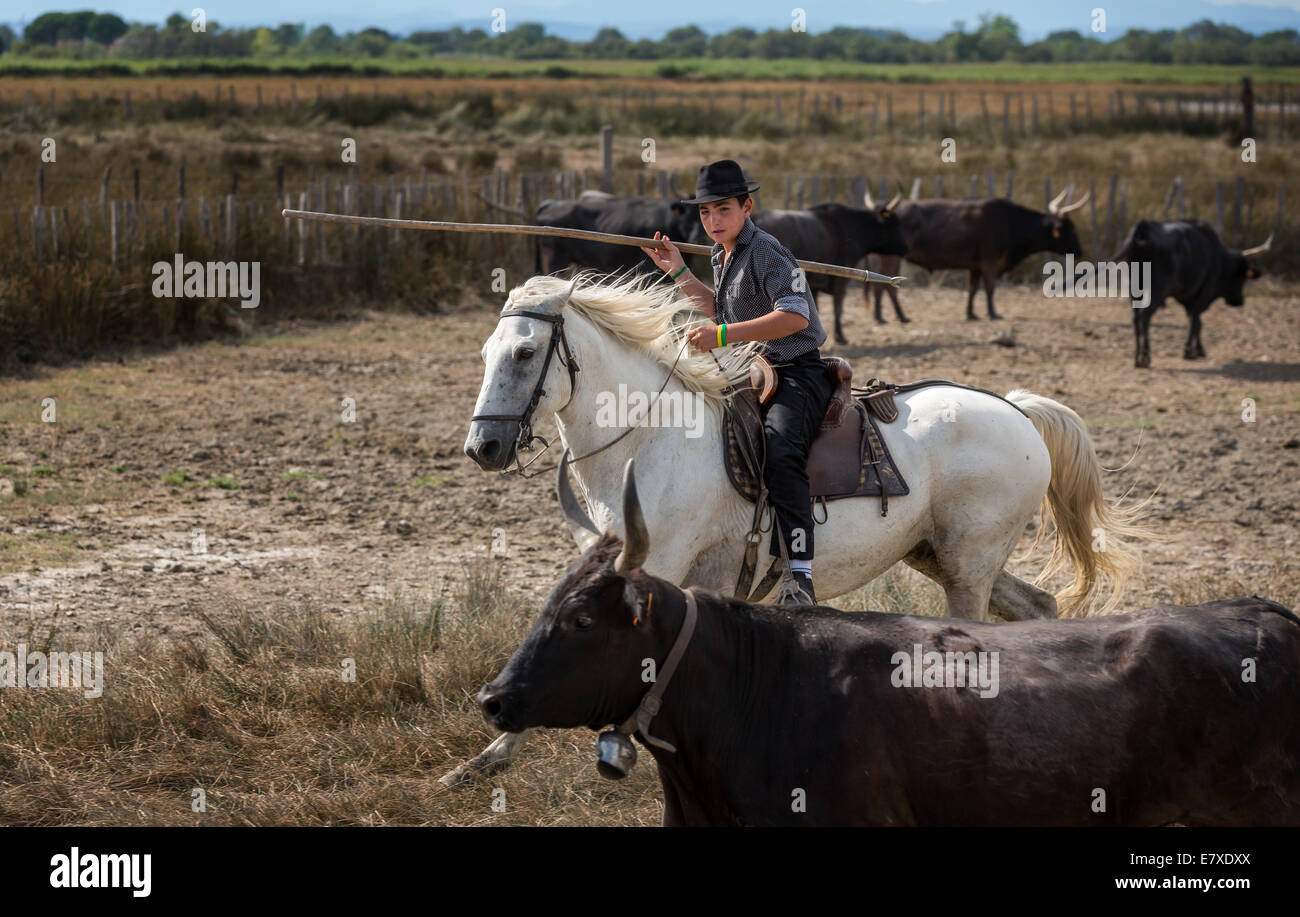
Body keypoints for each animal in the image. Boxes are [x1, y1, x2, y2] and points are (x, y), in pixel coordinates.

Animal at [449, 267, 1149, 785]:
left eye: (524, 351)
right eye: (484, 353)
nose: (483, 447)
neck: (650, 432)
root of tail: (1019, 410)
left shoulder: (652, 564)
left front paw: (494, 750)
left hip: (968, 567)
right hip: (945, 556)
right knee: (1039, 606)